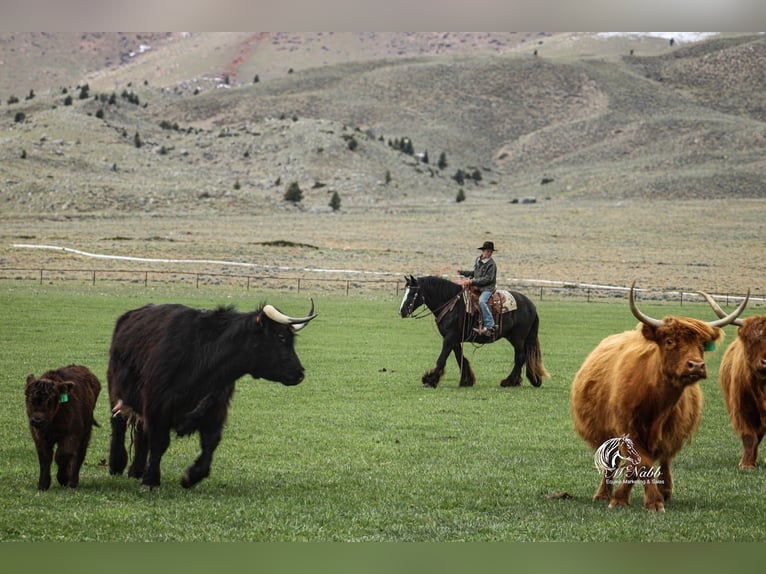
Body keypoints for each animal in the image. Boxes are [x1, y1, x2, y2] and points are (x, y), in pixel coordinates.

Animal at [399, 275, 549, 388]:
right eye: (405, 291)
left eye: (413, 293)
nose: (402, 311)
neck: (451, 304)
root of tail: (531, 305)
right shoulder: (454, 339)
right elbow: (460, 357)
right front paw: (466, 380)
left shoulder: (450, 337)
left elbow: (442, 358)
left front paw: (430, 380)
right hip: (513, 337)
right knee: (522, 357)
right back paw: (518, 381)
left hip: (519, 337)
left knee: (520, 357)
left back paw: (509, 381)